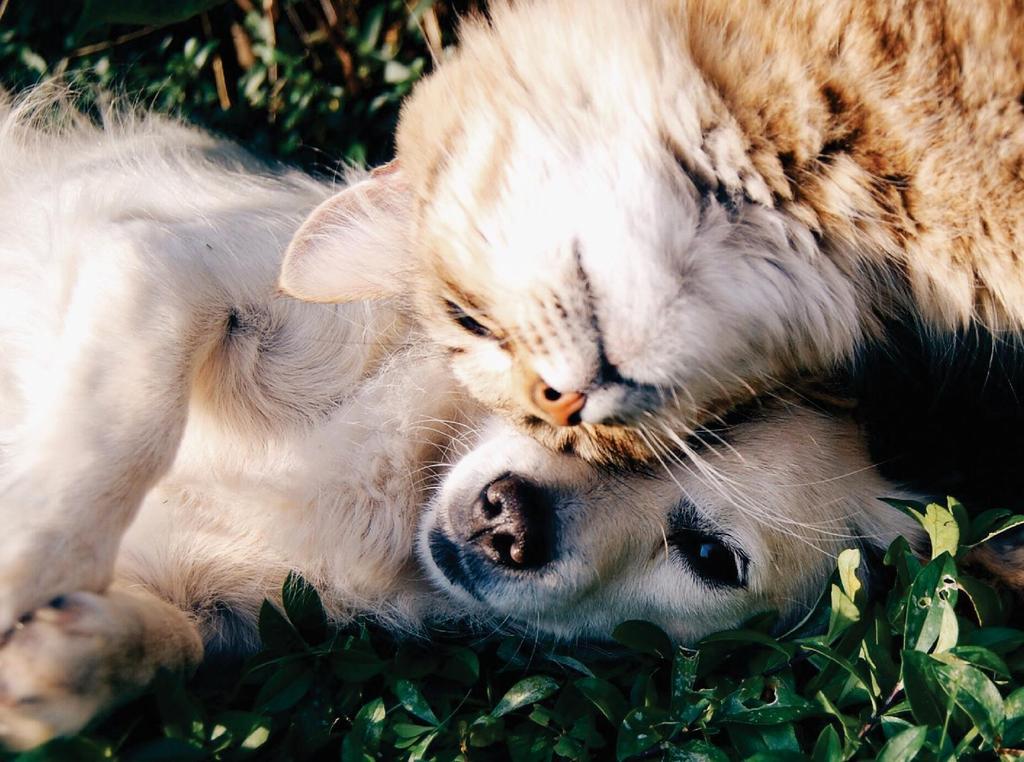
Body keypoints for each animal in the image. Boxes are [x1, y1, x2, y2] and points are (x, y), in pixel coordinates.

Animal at [0, 93, 921, 749]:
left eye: (709, 558)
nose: (507, 522)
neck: (402, 478)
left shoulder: (227, 614)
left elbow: (171, 644)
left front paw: (60, 665)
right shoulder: (162, 265)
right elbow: (119, 434)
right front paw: (25, 561)